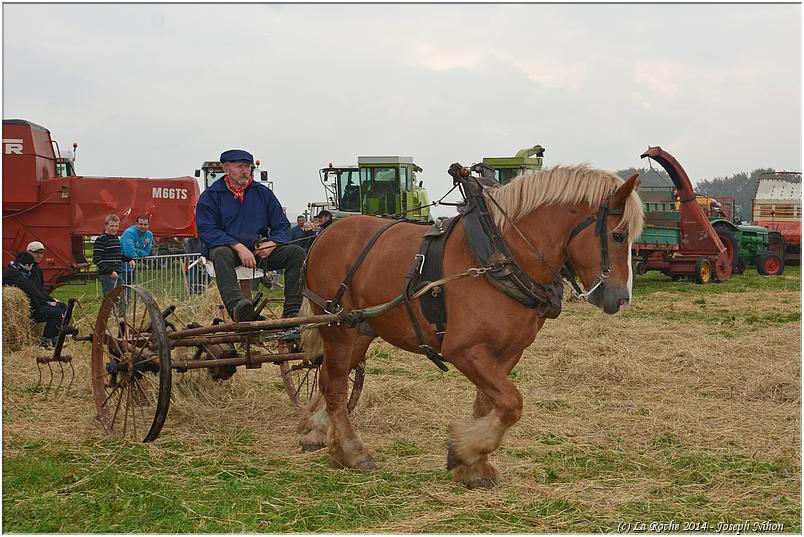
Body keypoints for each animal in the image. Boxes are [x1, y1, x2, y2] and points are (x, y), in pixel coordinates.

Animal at [298, 165, 644, 488]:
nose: (621, 299)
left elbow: (488, 405)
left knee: (328, 379)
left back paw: (319, 435)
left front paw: (472, 464)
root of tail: (323, 235)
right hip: (338, 327)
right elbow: (512, 403)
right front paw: (464, 451)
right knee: (336, 388)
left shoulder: (507, 352)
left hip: (361, 330)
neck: (499, 256)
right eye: (618, 235)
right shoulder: (464, 350)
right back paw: (353, 451)